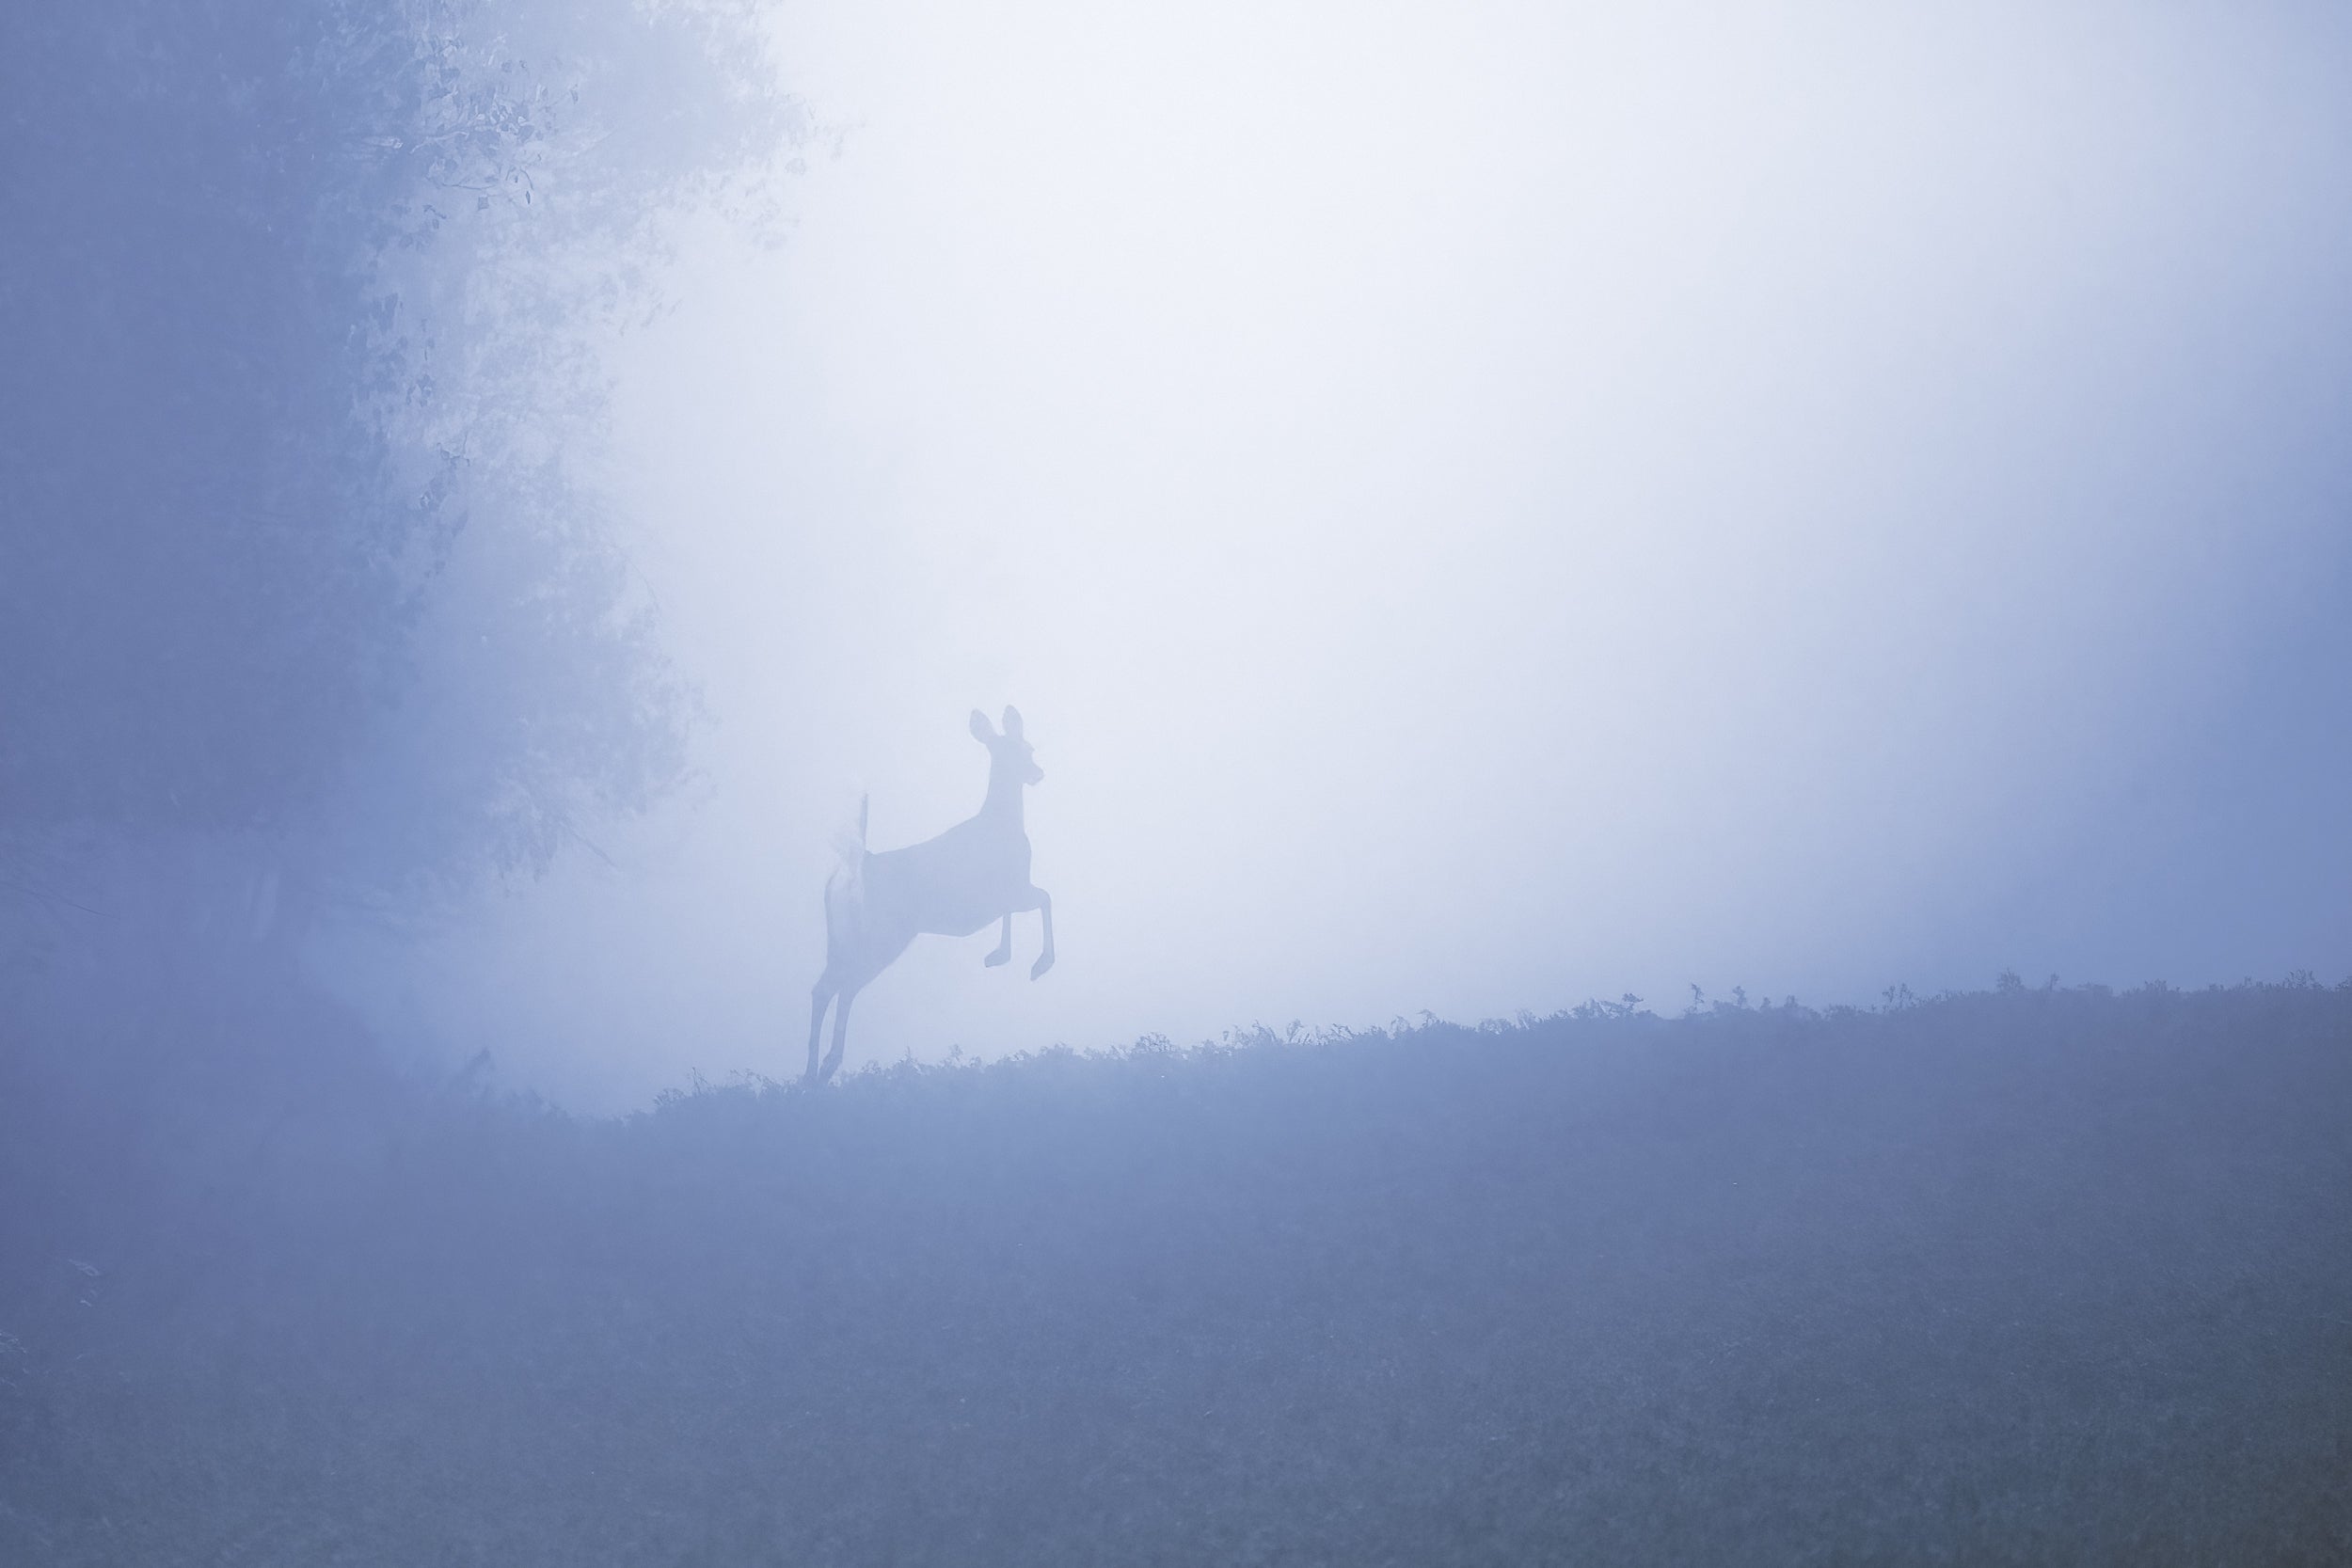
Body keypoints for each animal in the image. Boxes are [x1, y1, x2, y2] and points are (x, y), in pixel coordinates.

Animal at [804, 706, 1055, 1084]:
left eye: (1028, 747)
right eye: (1016, 750)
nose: (1037, 773)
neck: (1003, 824)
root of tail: (854, 866)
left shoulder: (1004, 896)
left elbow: (1019, 913)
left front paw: (998, 955)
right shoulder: (1009, 891)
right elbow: (1045, 898)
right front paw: (1040, 964)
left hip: (843, 938)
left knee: (829, 988)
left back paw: (815, 1071)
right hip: (881, 936)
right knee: (841, 987)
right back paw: (822, 1068)